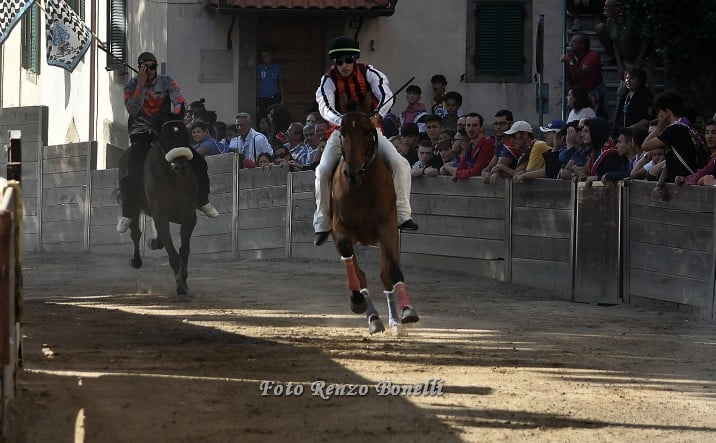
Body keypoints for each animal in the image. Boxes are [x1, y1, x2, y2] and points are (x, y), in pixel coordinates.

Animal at [127, 119, 197, 300]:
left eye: (185, 135)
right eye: (164, 138)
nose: (180, 166)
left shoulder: (189, 215)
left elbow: (184, 250)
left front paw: (184, 281)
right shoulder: (161, 214)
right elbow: (172, 254)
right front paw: (180, 286)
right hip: (134, 204)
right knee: (135, 231)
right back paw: (136, 260)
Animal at [330, 112, 420, 334]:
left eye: (366, 132)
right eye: (342, 133)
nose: (352, 172)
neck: (361, 187)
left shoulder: (387, 227)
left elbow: (392, 270)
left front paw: (407, 311)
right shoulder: (340, 229)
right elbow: (354, 267)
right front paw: (357, 301)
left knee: (386, 275)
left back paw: (395, 322)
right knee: (360, 273)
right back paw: (373, 317)